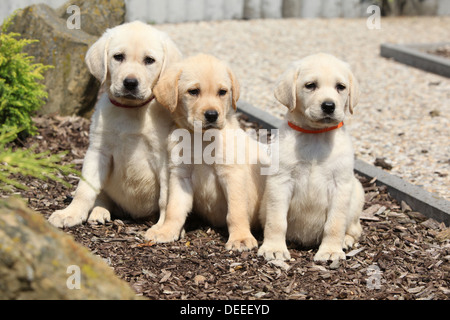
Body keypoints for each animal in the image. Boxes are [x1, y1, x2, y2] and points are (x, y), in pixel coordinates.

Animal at [48, 20, 181, 228]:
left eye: (149, 60)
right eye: (118, 57)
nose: (130, 83)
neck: (130, 110)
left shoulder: (164, 158)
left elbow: (165, 198)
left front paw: (163, 227)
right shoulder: (98, 151)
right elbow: (84, 189)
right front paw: (71, 213)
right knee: (102, 196)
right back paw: (99, 212)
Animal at [144, 53, 266, 251]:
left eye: (222, 92)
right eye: (193, 91)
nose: (212, 115)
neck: (201, 139)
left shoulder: (232, 174)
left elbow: (236, 211)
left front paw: (240, 238)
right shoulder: (181, 175)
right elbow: (173, 209)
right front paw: (167, 231)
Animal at [258, 52, 364, 262]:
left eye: (341, 87)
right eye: (310, 85)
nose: (329, 106)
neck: (316, 135)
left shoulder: (341, 185)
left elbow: (335, 223)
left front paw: (331, 251)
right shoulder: (280, 182)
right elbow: (276, 221)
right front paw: (274, 248)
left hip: (358, 192)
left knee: (355, 227)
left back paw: (346, 240)